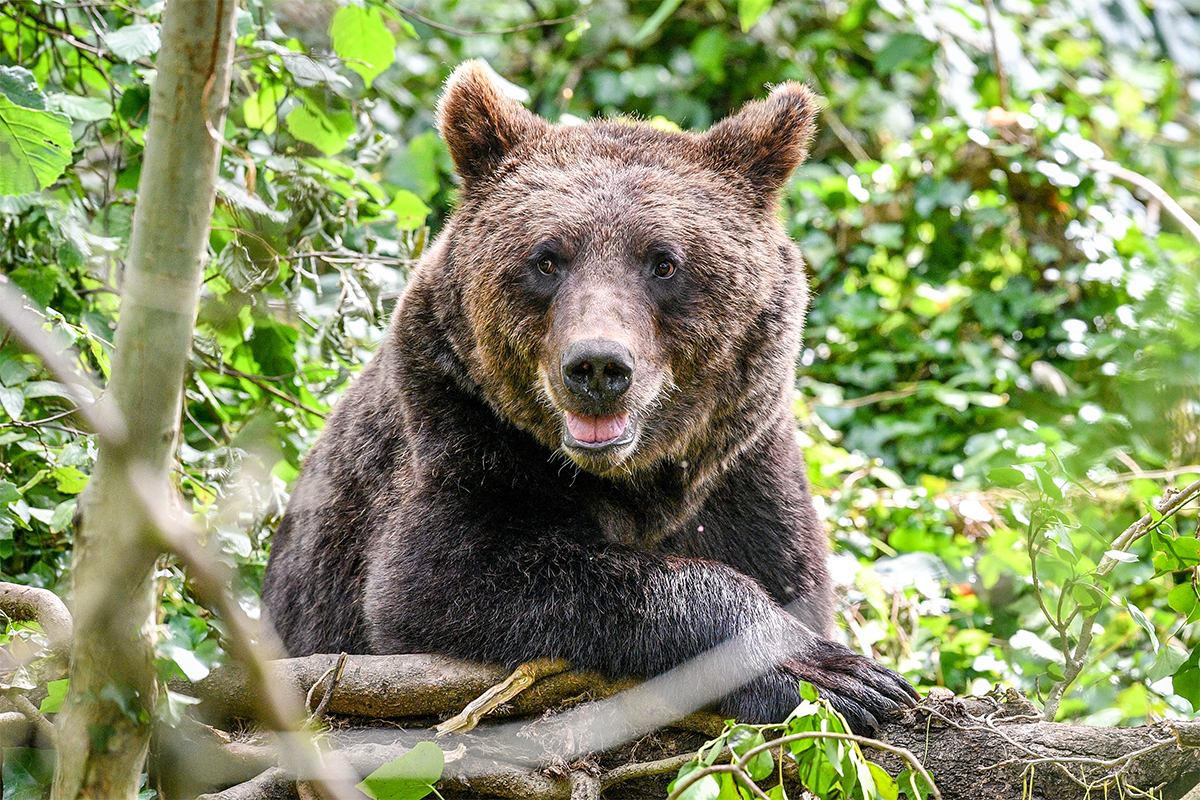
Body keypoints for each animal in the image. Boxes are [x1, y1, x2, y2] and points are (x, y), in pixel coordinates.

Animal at [260, 61, 917, 733]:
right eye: (547, 259)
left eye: (664, 262)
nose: (598, 366)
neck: (637, 479)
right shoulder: (461, 434)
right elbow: (444, 577)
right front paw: (830, 672)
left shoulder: (743, 473)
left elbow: (786, 573)